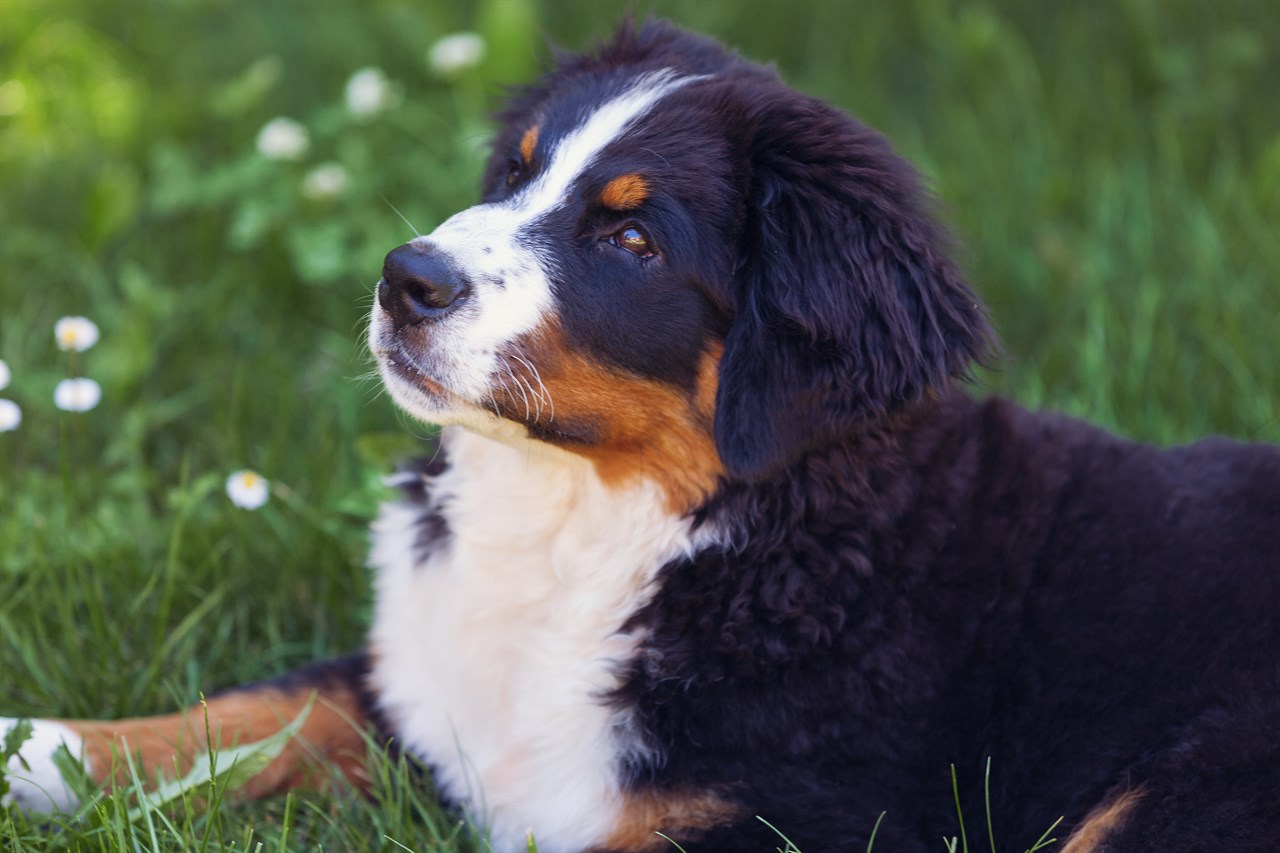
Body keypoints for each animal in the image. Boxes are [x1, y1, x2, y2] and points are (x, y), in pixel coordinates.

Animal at [2, 18, 1280, 850]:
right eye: (512, 174)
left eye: (631, 240)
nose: (404, 278)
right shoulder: (423, 681)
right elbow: (260, 711)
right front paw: (38, 744)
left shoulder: (787, 819)